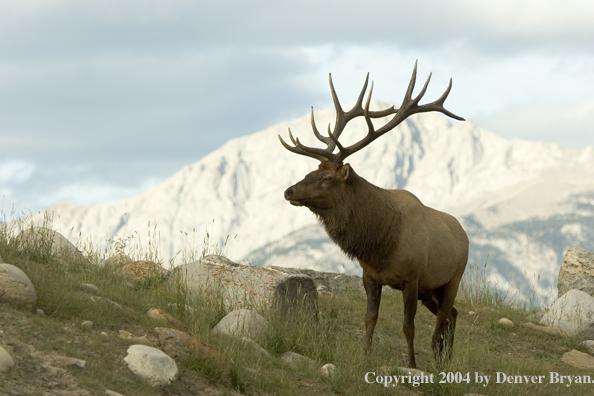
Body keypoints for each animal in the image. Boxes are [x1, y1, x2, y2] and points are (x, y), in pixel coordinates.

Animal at [278, 61, 468, 368]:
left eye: (328, 178)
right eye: (311, 171)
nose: (289, 191)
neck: (381, 243)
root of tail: (463, 233)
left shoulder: (412, 279)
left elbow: (408, 326)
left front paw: (412, 365)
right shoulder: (370, 276)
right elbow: (370, 318)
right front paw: (365, 356)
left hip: (452, 279)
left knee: (441, 323)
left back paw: (440, 361)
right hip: (432, 290)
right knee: (452, 315)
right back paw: (445, 360)